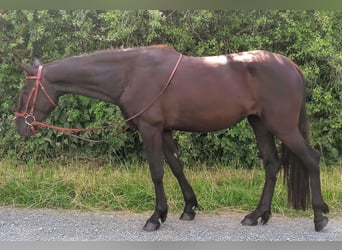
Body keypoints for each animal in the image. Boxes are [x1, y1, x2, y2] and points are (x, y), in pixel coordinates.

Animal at [14, 45, 328, 232]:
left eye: (24, 91)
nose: (20, 126)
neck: (130, 73)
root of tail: (291, 66)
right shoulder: (164, 130)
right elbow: (176, 167)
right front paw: (188, 208)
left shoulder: (150, 128)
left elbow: (157, 172)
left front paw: (156, 217)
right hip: (260, 124)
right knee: (272, 165)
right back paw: (258, 214)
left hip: (282, 126)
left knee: (311, 159)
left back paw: (319, 216)